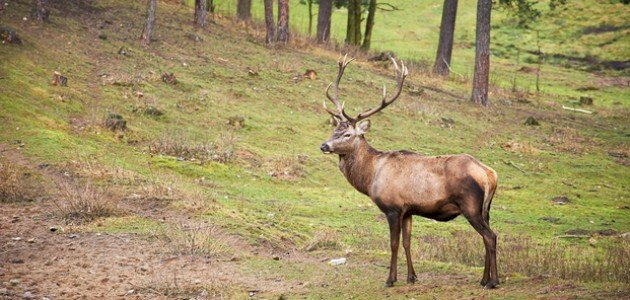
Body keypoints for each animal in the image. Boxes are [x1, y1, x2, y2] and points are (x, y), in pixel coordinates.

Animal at [324, 55, 502, 290]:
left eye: (347, 134)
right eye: (334, 130)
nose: (324, 146)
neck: (371, 177)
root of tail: (489, 174)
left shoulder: (393, 208)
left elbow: (393, 244)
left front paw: (390, 279)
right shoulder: (408, 210)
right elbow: (407, 243)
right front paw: (411, 276)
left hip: (470, 205)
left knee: (490, 236)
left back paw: (493, 282)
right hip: (486, 209)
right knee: (488, 235)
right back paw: (484, 279)